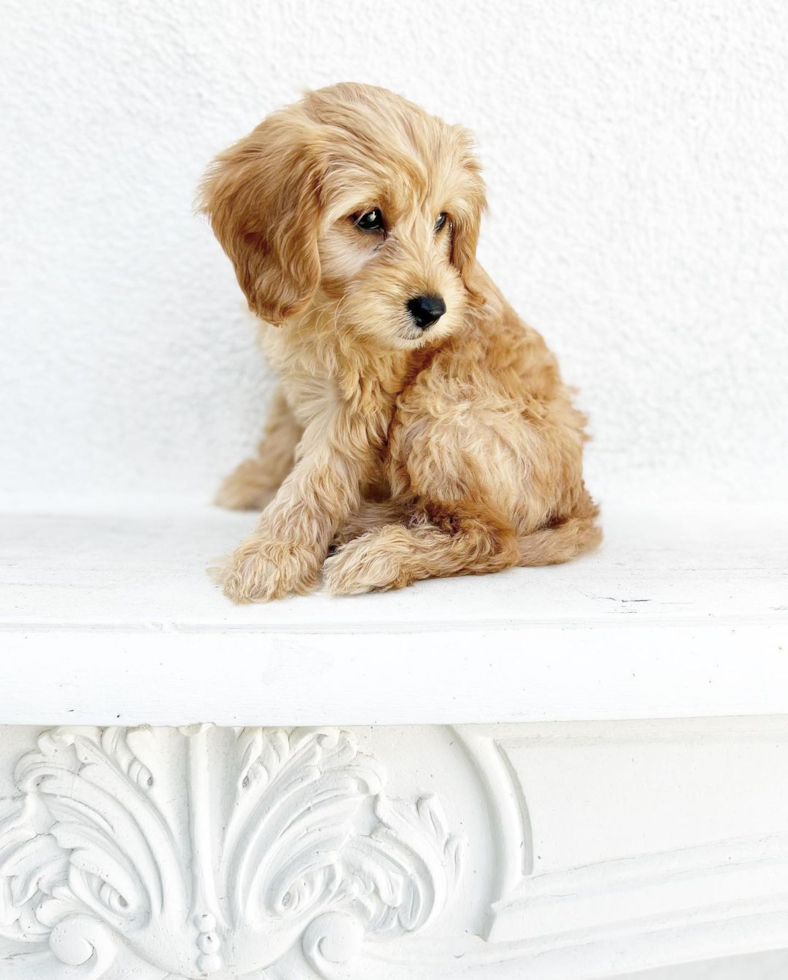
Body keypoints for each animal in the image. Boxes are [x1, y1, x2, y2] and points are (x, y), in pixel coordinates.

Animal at [200, 82, 600, 604]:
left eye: (441, 221)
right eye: (370, 218)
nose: (434, 309)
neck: (328, 305)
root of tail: (579, 502)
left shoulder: (355, 406)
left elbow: (315, 480)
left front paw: (270, 556)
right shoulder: (293, 378)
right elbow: (280, 434)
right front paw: (257, 483)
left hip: (436, 411)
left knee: (491, 538)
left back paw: (380, 551)